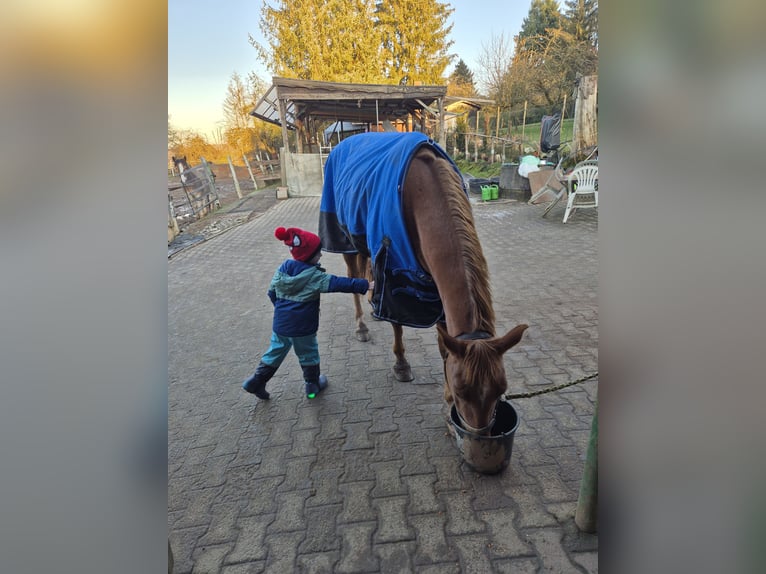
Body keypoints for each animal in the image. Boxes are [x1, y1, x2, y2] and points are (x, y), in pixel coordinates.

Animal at [318, 132, 528, 436]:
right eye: (463, 391)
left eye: (501, 389)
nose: (477, 438)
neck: (423, 196)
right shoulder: (393, 268)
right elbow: (397, 323)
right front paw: (401, 364)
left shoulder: (436, 288)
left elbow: (444, 344)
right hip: (346, 239)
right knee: (353, 276)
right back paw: (361, 326)